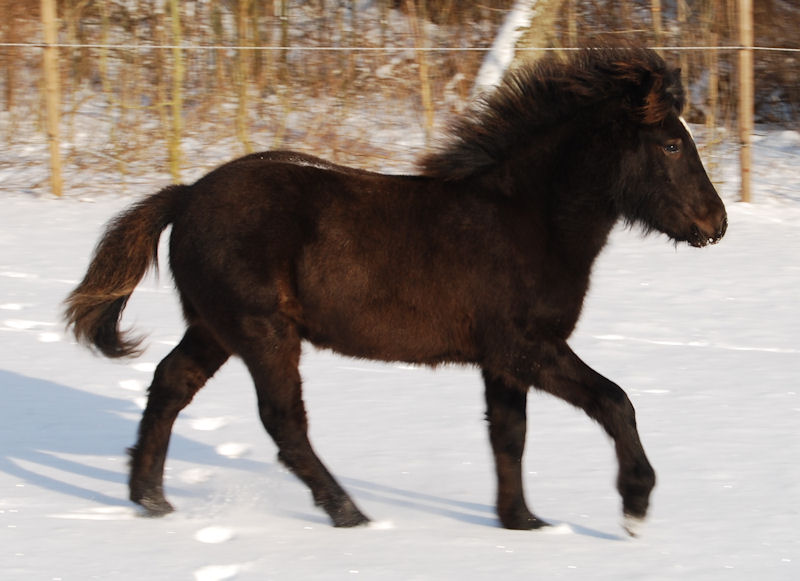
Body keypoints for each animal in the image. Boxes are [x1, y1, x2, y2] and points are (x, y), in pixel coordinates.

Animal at [64, 47, 724, 532]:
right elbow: (614, 401)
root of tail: (187, 195)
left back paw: (150, 498)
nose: (715, 224)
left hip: (214, 328)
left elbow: (509, 436)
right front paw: (635, 505)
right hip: (262, 331)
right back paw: (350, 514)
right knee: (283, 421)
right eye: (670, 143)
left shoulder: (501, 360)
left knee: (170, 386)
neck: (525, 221)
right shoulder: (525, 347)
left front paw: (522, 523)